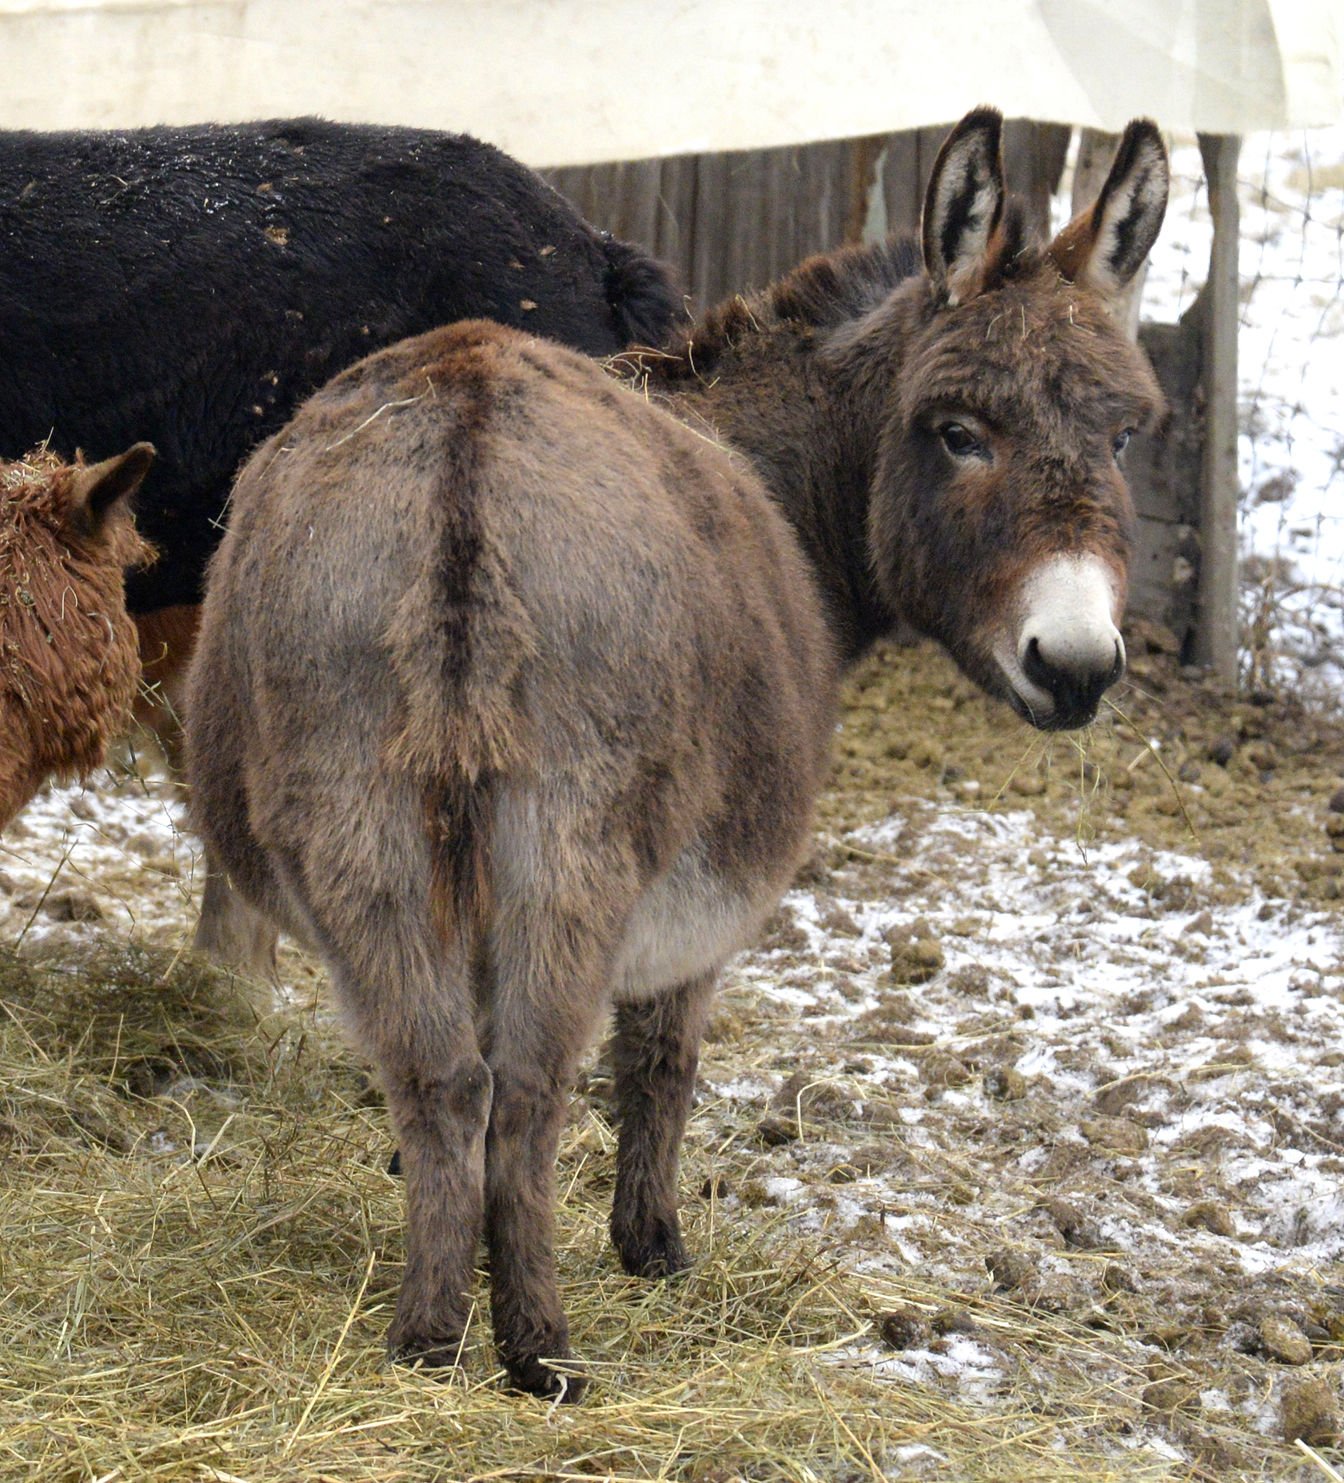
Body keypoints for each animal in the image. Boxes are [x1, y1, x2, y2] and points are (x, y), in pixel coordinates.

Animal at [186, 109, 1163, 1394]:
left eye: (1122, 435)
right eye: (959, 434)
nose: (1078, 665)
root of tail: (462, 442)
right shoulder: (702, 901)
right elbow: (661, 1062)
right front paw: (651, 1246)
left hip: (360, 819)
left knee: (443, 1080)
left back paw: (429, 1340)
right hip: (574, 839)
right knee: (532, 1089)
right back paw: (538, 1347)